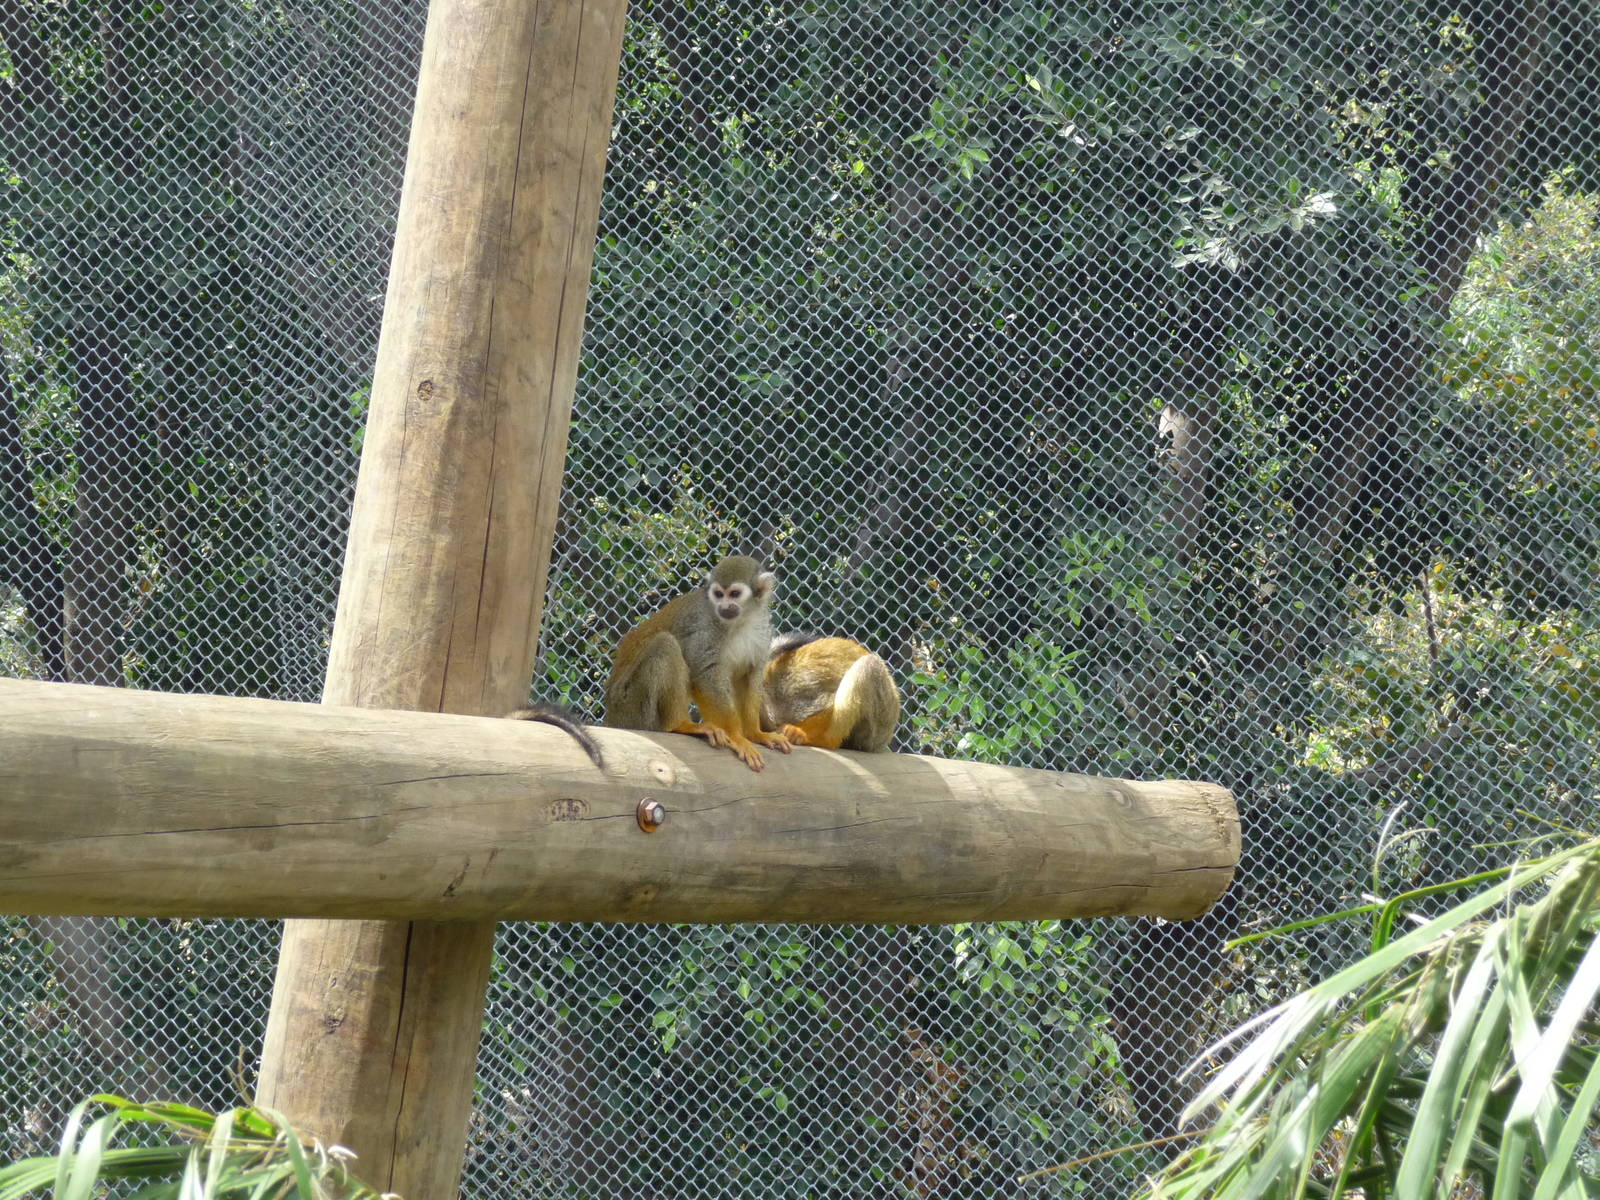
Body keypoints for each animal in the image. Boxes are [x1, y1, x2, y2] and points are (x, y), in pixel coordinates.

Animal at [603, 555, 794, 771]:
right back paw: (680, 726)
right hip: (629, 705)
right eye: (718, 594)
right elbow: (705, 676)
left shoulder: (761, 631)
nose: (724, 606)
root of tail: (612, 716)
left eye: (734, 594)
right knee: (666, 644)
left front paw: (756, 734)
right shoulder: (703, 629)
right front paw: (736, 737)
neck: (739, 622)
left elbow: (749, 678)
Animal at [761, 633, 900, 753]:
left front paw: (798, 732)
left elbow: (828, 703)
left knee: (868, 665)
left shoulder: (788, 693)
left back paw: (825, 740)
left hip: (881, 724)